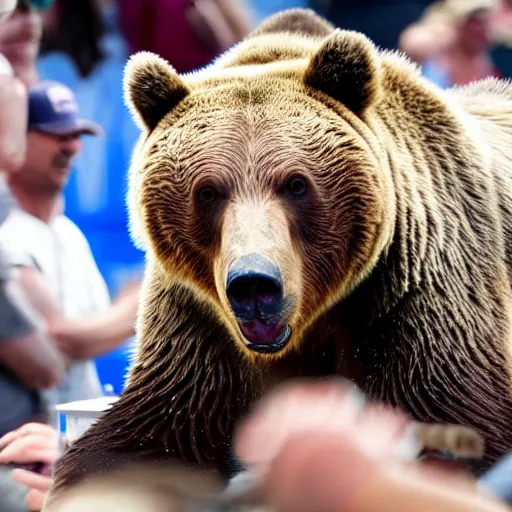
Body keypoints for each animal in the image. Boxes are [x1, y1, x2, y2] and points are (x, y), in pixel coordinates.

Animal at [44, 7, 512, 504]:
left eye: (296, 183)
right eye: (207, 191)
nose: (254, 283)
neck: (312, 323)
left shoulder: (413, 289)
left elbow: (451, 420)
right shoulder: (198, 327)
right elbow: (138, 440)